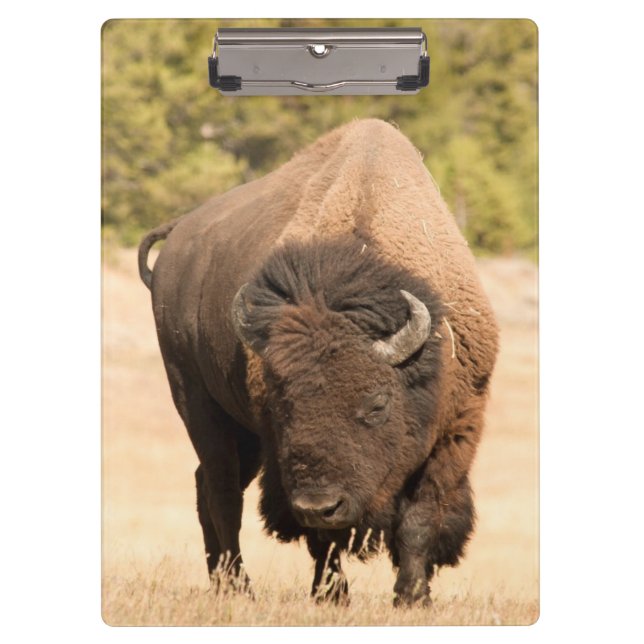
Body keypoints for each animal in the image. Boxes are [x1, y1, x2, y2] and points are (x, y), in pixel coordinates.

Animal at [138, 119, 499, 606]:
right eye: (283, 405)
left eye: (376, 404)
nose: (319, 504)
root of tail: (177, 237)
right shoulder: (283, 455)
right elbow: (323, 539)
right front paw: (332, 596)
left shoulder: (456, 431)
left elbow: (420, 519)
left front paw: (412, 597)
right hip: (197, 403)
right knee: (222, 493)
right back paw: (239, 588)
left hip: (243, 436)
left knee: (207, 487)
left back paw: (221, 583)